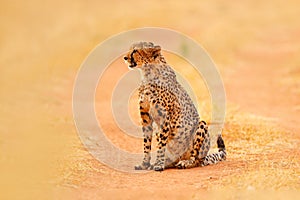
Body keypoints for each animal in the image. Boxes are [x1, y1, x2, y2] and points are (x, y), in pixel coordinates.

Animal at [123, 41, 226, 171]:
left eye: (135, 51)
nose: (125, 57)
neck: (148, 73)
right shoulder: (145, 117)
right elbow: (146, 143)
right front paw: (145, 164)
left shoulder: (165, 117)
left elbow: (161, 144)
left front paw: (159, 164)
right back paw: (166, 162)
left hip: (201, 125)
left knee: (196, 159)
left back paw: (185, 163)